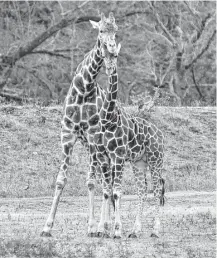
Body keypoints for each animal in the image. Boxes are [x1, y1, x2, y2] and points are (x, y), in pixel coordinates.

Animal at [40, 12, 118, 238]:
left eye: (116, 31)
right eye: (101, 30)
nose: (111, 48)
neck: (84, 89)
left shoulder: (92, 137)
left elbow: (91, 181)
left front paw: (92, 226)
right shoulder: (67, 135)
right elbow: (61, 180)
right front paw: (47, 227)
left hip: (103, 148)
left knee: (107, 181)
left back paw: (103, 226)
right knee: (105, 179)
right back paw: (105, 224)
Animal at [93, 45, 164, 238]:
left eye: (116, 55)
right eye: (104, 56)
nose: (109, 68)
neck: (108, 119)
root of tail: (161, 135)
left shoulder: (118, 157)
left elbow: (117, 192)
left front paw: (117, 231)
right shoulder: (104, 157)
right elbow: (106, 192)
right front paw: (101, 229)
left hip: (156, 160)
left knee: (157, 191)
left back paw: (155, 231)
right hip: (138, 163)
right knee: (142, 191)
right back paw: (135, 230)